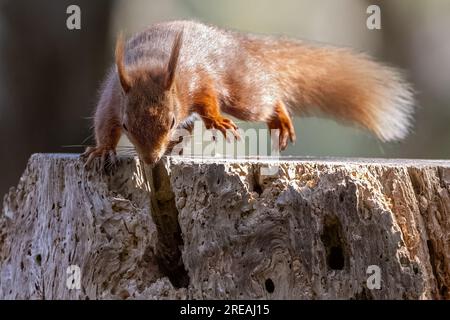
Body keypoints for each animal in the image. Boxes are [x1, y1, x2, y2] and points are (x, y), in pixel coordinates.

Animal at [81, 19, 414, 168]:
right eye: (127, 126)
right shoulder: (111, 99)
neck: (150, 66)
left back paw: (280, 119)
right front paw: (101, 150)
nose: (150, 161)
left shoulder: (198, 79)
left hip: (243, 95)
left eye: (171, 119)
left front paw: (217, 121)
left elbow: (208, 101)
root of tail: (232, 41)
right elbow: (103, 125)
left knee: (268, 97)